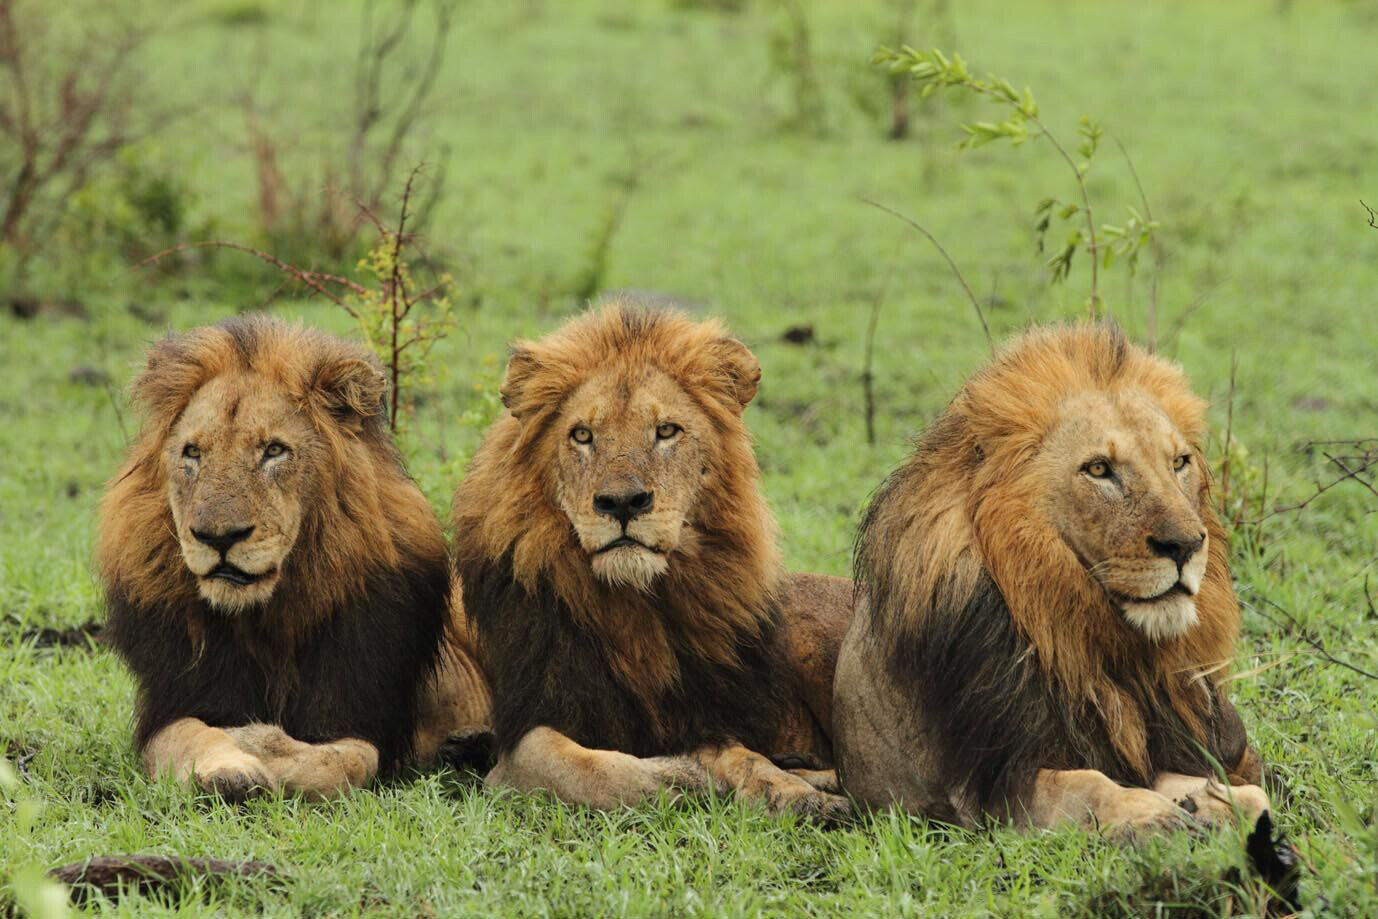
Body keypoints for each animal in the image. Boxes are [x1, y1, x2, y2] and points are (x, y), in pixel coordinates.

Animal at [96, 316, 488, 800]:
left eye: (274, 451)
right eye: (193, 453)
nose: (218, 536)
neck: (269, 621)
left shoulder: (360, 714)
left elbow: (345, 759)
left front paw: (256, 742)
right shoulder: (174, 701)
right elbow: (189, 733)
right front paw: (228, 769)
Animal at [451, 302, 853, 821]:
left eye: (666, 431)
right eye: (582, 435)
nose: (623, 503)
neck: (633, 611)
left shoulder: (704, 713)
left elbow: (740, 754)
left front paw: (786, 790)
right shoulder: (524, 734)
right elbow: (576, 766)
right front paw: (688, 775)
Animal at [833, 323, 1269, 838]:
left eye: (1179, 462)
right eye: (1099, 469)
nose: (1185, 545)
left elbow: (1232, 787)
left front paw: (1213, 802)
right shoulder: (987, 792)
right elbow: (1086, 784)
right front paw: (1150, 814)